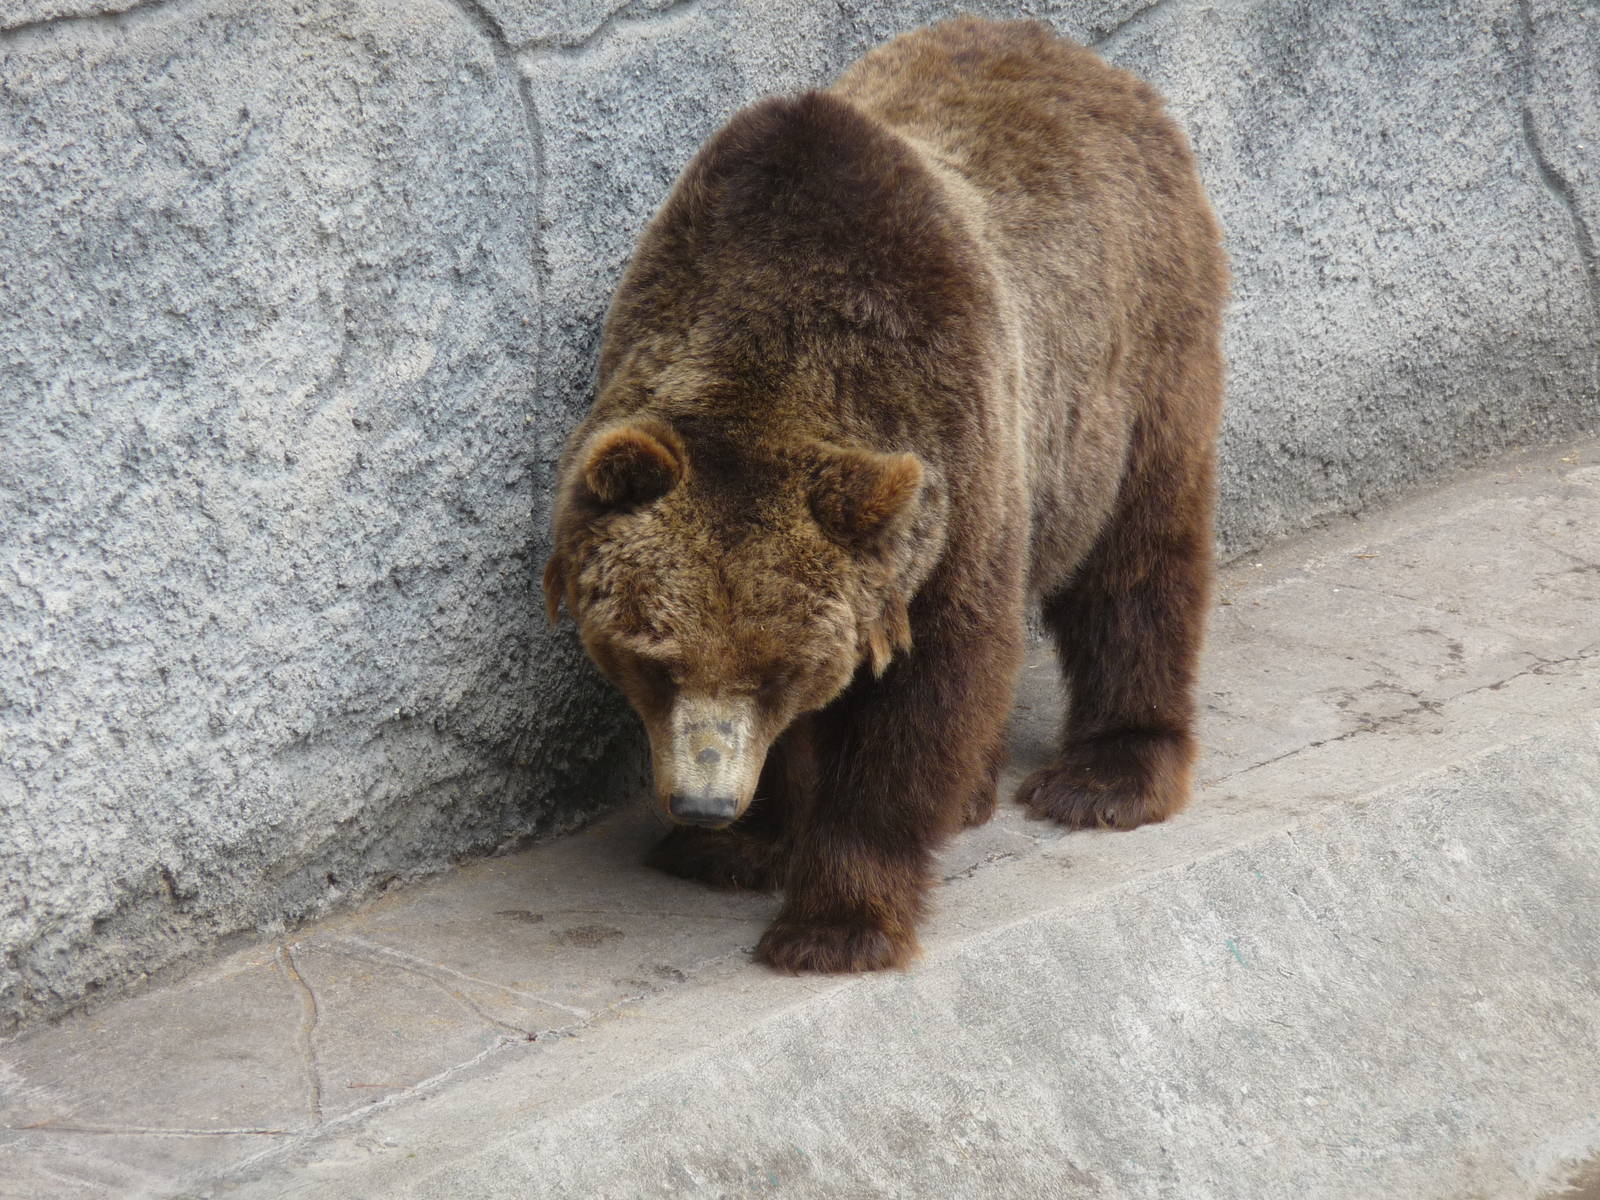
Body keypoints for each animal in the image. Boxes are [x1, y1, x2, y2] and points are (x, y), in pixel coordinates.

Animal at [543, 17, 1228, 973]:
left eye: (776, 670)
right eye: (653, 659)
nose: (706, 802)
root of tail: (1082, 56)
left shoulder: (954, 470)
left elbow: (927, 700)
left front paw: (834, 923)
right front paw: (742, 843)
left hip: (1134, 360)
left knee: (1139, 556)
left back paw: (1109, 774)